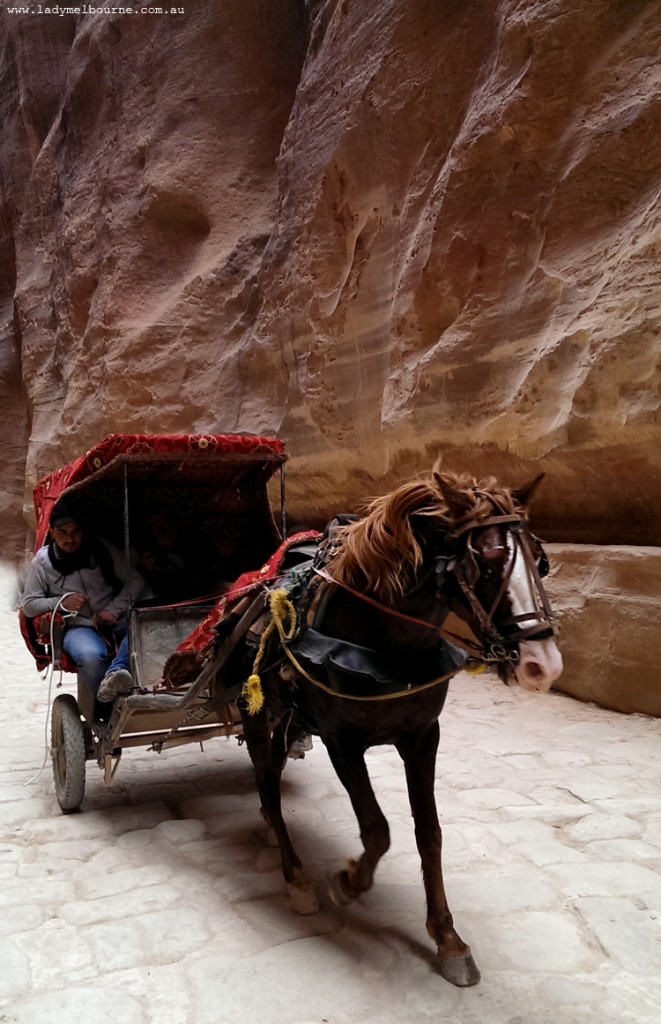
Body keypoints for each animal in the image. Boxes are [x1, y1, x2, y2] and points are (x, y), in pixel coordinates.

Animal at [229, 462, 564, 983]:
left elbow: (430, 834)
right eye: (486, 563)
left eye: (542, 563)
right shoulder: (342, 741)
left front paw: (447, 938)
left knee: (275, 776)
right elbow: (377, 829)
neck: (383, 643)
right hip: (256, 711)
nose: (542, 665)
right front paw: (349, 881)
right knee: (266, 780)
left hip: (290, 716)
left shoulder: (423, 736)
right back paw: (296, 877)